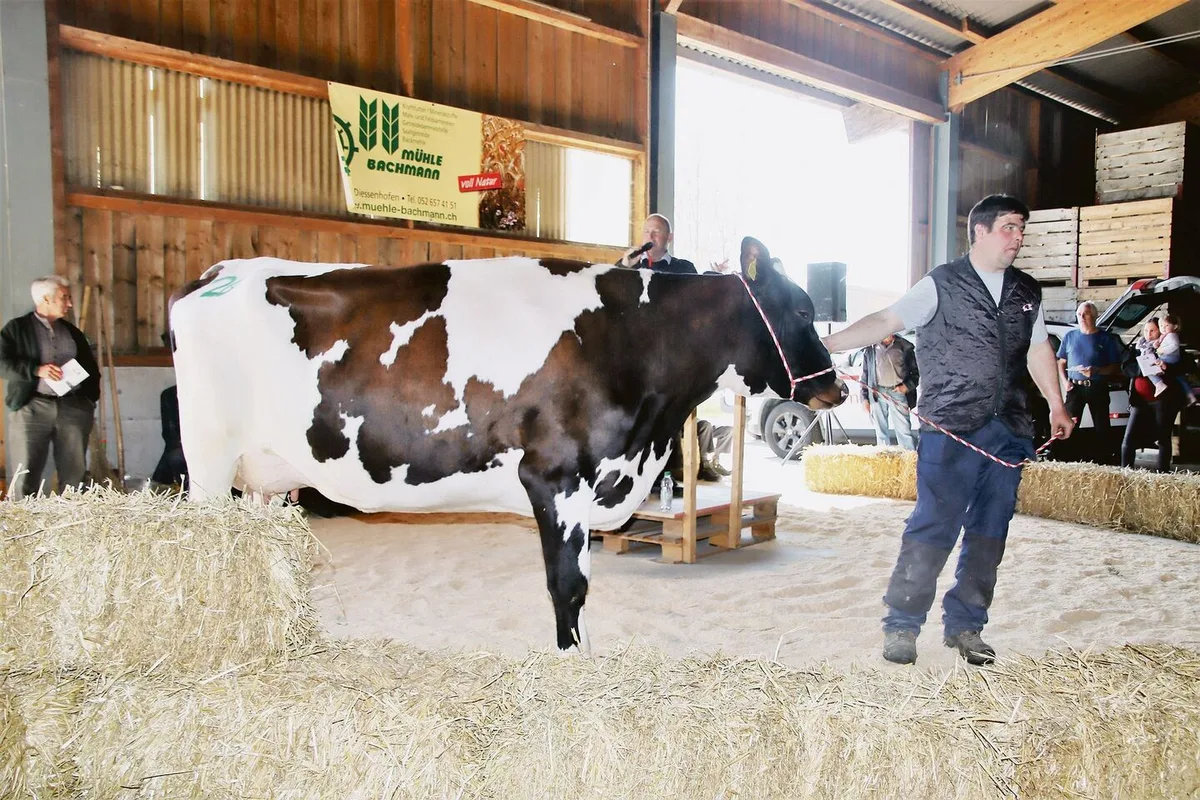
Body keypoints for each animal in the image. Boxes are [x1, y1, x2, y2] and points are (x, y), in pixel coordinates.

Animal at [168, 236, 847, 653]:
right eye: (800, 309)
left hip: (262, 477)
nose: (837, 386)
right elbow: (567, 587)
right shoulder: (555, 477)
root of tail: (217, 273)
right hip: (208, 459)